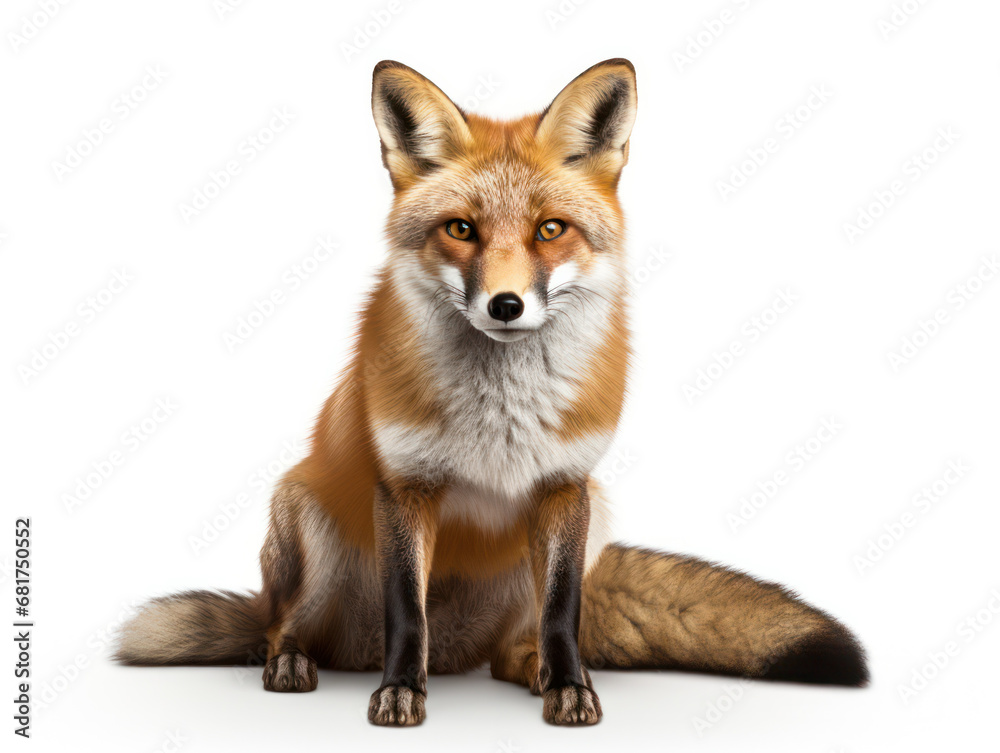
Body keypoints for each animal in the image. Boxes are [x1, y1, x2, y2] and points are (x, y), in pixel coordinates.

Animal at [116, 58, 868, 726]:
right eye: (461, 229)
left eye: (549, 229)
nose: (506, 305)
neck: (499, 413)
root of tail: (456, 655)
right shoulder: (405, 486)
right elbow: (406, 611)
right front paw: (400, 693)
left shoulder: (565, 485)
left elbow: (563, 611)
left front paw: (569, 688)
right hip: (304, 516)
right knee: (282, 623)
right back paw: (297, 661)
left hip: (594, 513)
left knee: (517, 644)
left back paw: (533, 668)